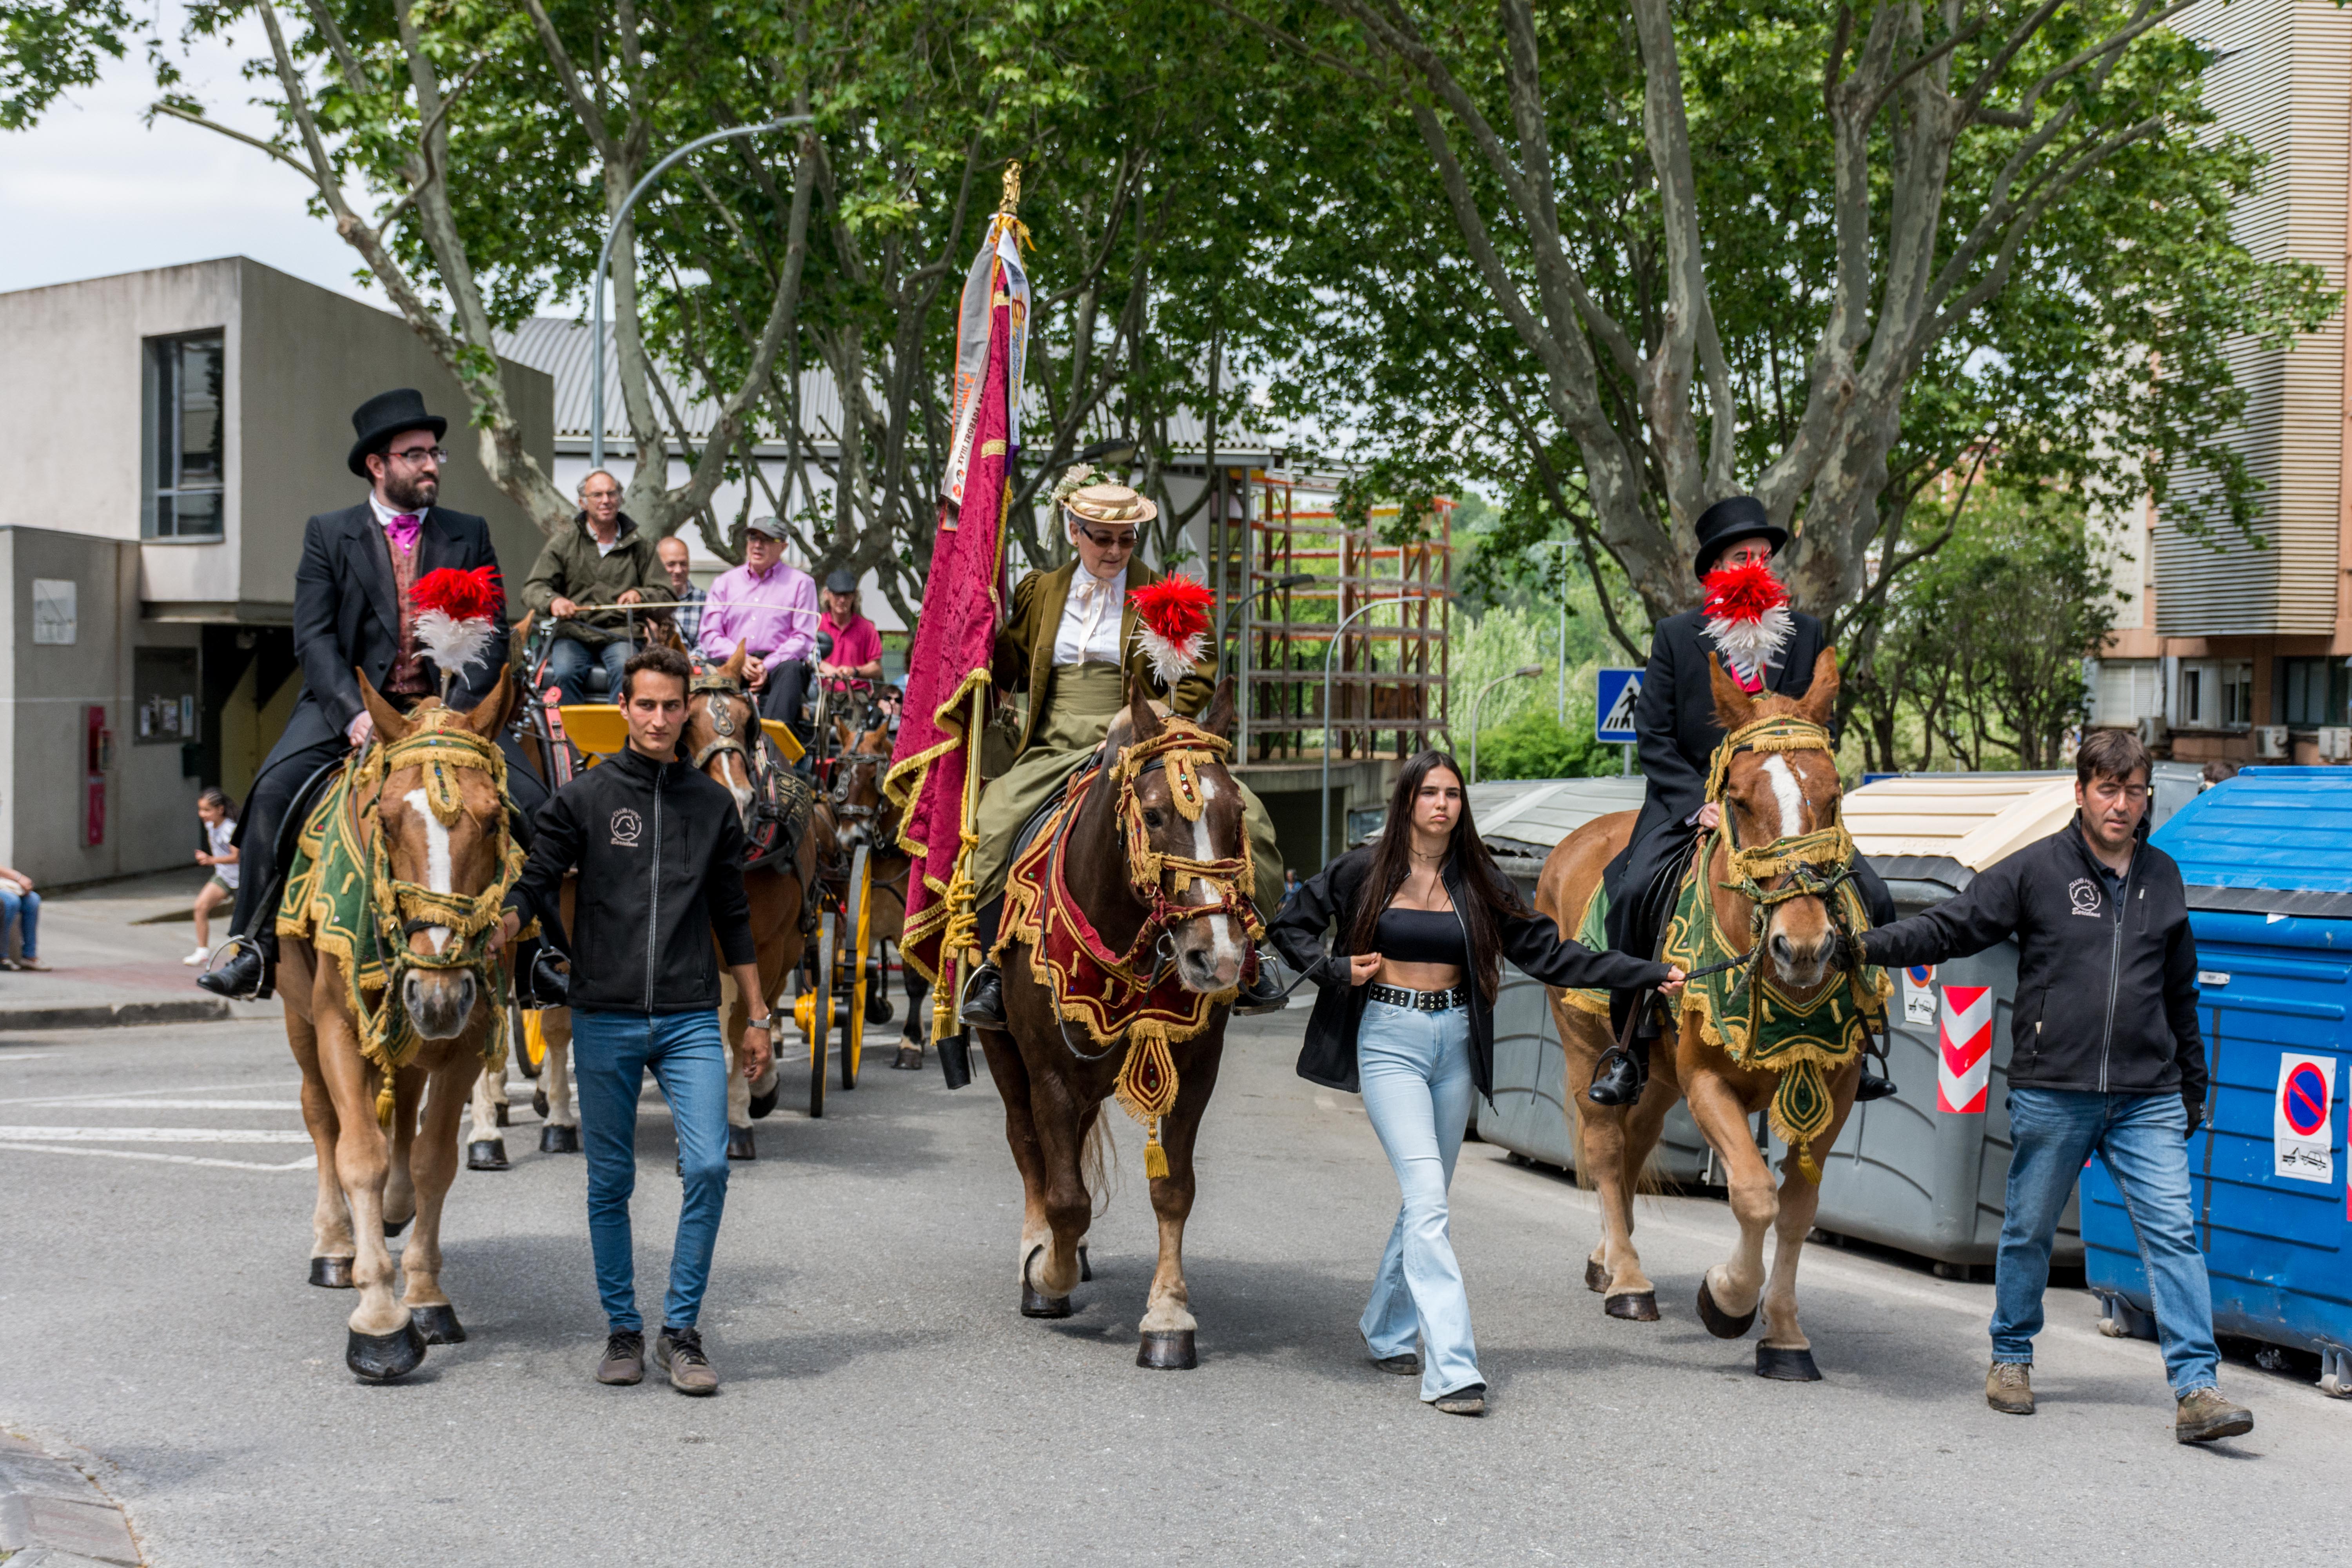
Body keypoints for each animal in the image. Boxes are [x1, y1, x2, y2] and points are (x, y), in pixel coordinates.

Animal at [282, 668, 522, 1382]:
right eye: (386, 821)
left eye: (494, 820)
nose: (436, 993)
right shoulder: (336, 1029)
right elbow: (356, 1153)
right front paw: (380, 1320)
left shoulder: (465, 1037)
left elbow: (433, 1161)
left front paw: (424, 1296)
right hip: (301, 1024)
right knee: (321, 1119)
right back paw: (335, 1246)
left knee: (405, 1118)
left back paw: (392, 1210)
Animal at [978, 677, 1261, 1373]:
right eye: (1155, 815)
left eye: (1237, 812)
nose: (1217, 958)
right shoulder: (1049, 1072)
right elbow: (1066, 1199)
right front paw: (1044, 1274)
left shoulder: (1195, 1068)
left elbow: (1173, 1190)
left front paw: (1168, 1318)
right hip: (1003, 1052)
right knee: (1028, 1146)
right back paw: (1038, 1252)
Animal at [1543, 649, 1872, 1382]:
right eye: (1741, 800)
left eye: (1834, 794)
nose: (1802, 947)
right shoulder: (1707, 1084)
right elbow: (1753, 1193)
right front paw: (1727, 1299)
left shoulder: (1833, 1091)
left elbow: (1796, 1212)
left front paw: (1785, 1335)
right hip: (1587, 1048)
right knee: (1607, 1149)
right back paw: (1629, 1281)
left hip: (1655, 1078)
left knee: (1634, 1148)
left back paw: (1609, 1258)